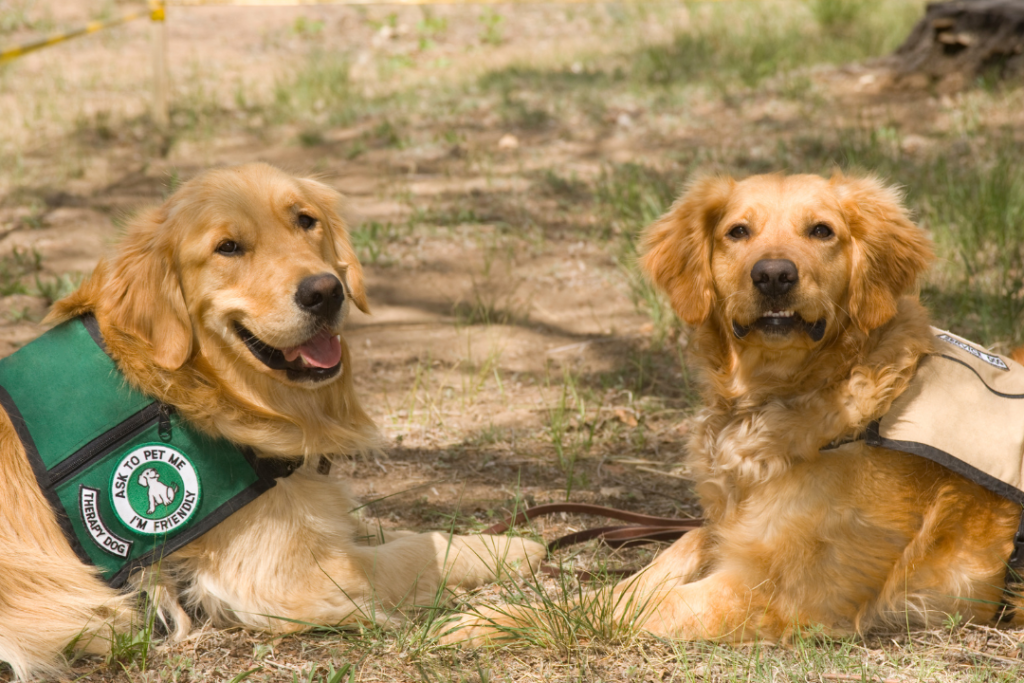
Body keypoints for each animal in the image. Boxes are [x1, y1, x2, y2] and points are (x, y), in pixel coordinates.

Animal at [0, 161, 544, 679]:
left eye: (306, 220)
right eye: (227, 248)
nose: (325, 292)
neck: (182, 387)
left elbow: (381, 526)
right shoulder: (286, 578)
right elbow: (415, 552)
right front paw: (513, 550)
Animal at [448, 171, 1024, 647]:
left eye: (822, 231)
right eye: (737, 231)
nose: (773, 275)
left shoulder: (775, 594)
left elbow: (619, 606)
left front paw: (496, 622)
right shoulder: (730, 529)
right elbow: (659, 563)